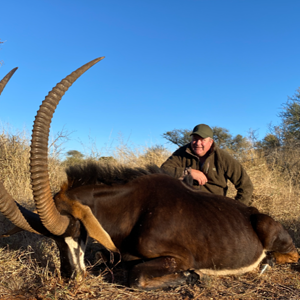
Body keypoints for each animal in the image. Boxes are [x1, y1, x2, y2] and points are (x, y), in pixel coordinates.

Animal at [0, 57, 298, 290]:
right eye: (53, 240)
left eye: (76, 228)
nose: (70, 278)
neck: (134, 208)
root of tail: (256, 214)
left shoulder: (178, 258)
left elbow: (136, 276)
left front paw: (195, 277)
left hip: (273, 236)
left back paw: (267, 262)